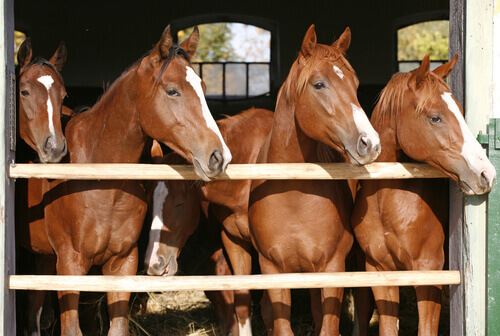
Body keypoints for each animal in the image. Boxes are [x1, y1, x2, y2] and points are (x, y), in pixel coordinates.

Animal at [33, 26, 230, 336]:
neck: (102, 184)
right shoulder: (69, 264)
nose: (219, 156)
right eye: (172, 91)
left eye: (203, 87)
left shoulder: (122, 263)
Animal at [248, 25, 380, 334]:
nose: (370, 143)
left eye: (355, 84)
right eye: (319, 84)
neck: (292, 194)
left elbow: (328, 325)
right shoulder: (272, 269)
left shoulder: (333, 267)